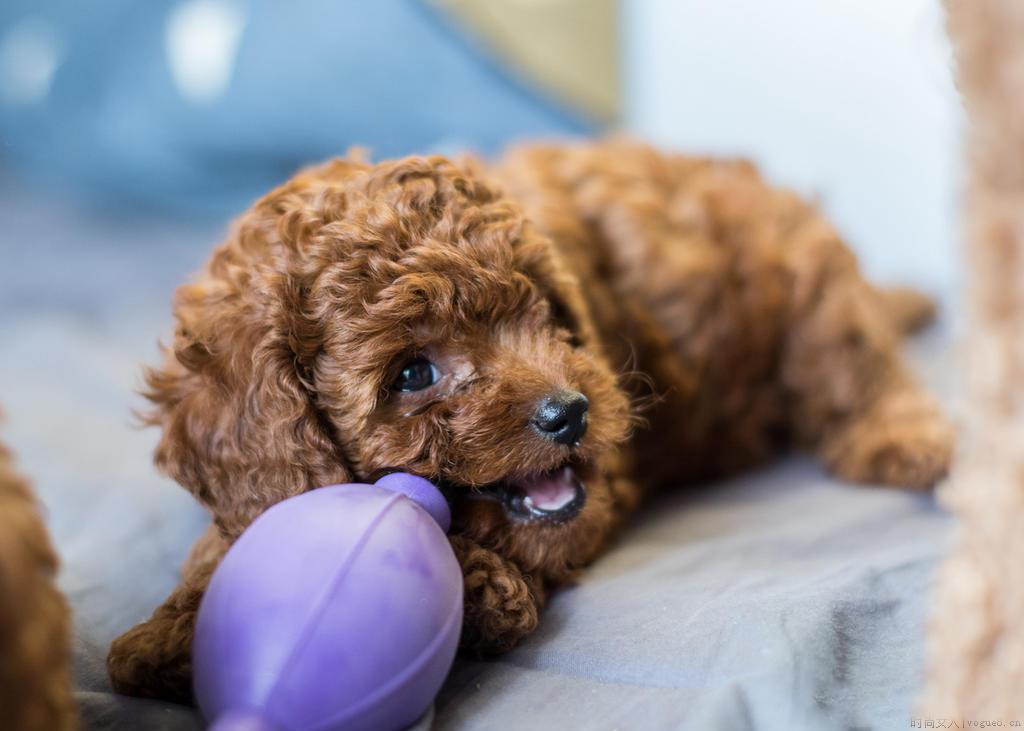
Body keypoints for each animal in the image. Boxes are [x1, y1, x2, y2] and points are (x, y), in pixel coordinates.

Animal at [105, 138, 950, 700]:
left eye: (544, 310)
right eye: (413, 372)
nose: (570, 411)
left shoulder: (597, 492)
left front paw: (478, 583)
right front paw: (174, 625)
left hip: (812, 286)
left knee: (856, 367)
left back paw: (912, 441)